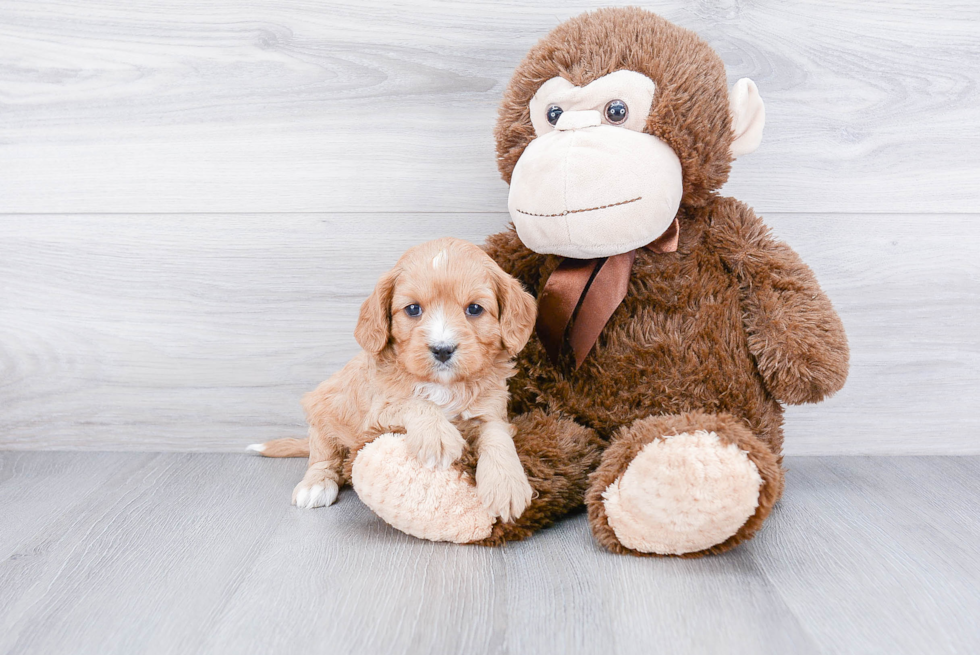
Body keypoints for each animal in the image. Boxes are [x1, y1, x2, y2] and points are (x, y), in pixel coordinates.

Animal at [247, 238, 536, 524]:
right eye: (413, 309)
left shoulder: (491, 412)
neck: (443, 386)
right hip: (323, 411)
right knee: (323, 457)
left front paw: (507, 485)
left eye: (474, 309)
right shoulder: (379, 412)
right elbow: (415, 402)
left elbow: (497, 437)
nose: (442, 349)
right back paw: (315, 484)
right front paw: (438, 437)